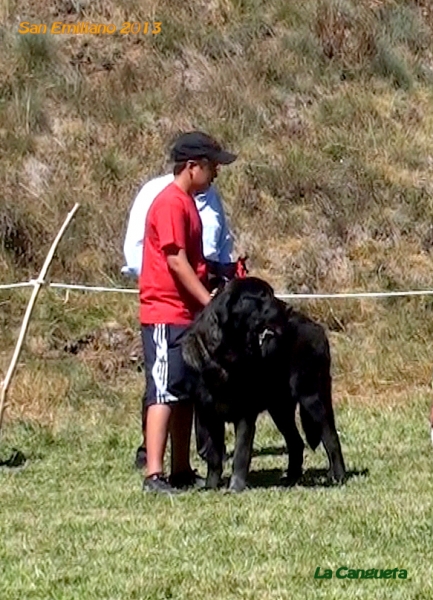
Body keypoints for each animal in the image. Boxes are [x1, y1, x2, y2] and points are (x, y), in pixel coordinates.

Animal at [181, 278, 346, 492]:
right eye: (262, 295)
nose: (289, 308)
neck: (225, 357)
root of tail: (317, 327)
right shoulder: (210, 415)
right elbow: (215, 458)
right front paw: (211, 486)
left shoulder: (244, 414)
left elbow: (241, 455)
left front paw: (235, 487)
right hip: (280, 409)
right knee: (296, 442)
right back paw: (291, 478)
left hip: (312, 398)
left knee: (331, 438)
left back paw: (339, 476)